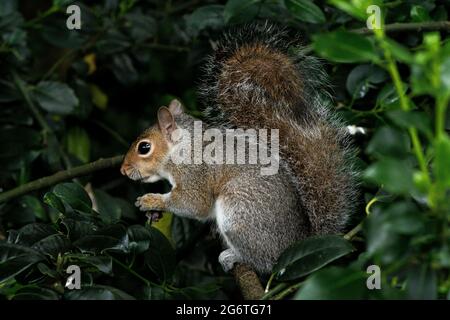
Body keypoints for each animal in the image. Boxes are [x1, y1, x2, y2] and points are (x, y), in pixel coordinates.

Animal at [120, 24, 358, 276]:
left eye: (144, 147)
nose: (123, 169)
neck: (183, 148)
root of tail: (299, 240)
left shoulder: (195, 175)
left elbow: (193, 204)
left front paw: (152, 201)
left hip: (239, 212)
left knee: (265, 262)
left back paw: (234, 256)